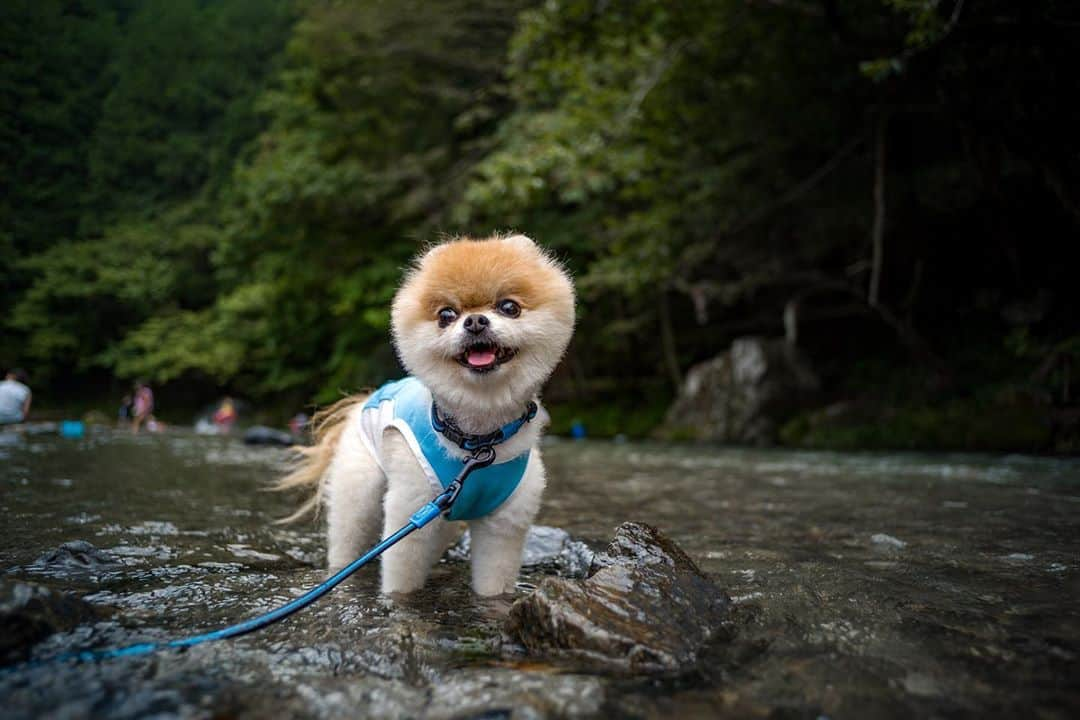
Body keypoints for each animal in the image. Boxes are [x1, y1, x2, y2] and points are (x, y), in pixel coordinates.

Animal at [282, 234, 578, 595]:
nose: (475, 321)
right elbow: (401, 579)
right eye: (446, 314)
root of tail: (366, 398)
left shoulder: (504, 524)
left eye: (509, 307)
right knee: (348, 537)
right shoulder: (412, 508)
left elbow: (494, 581)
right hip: (360, 490)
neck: (477, 442)